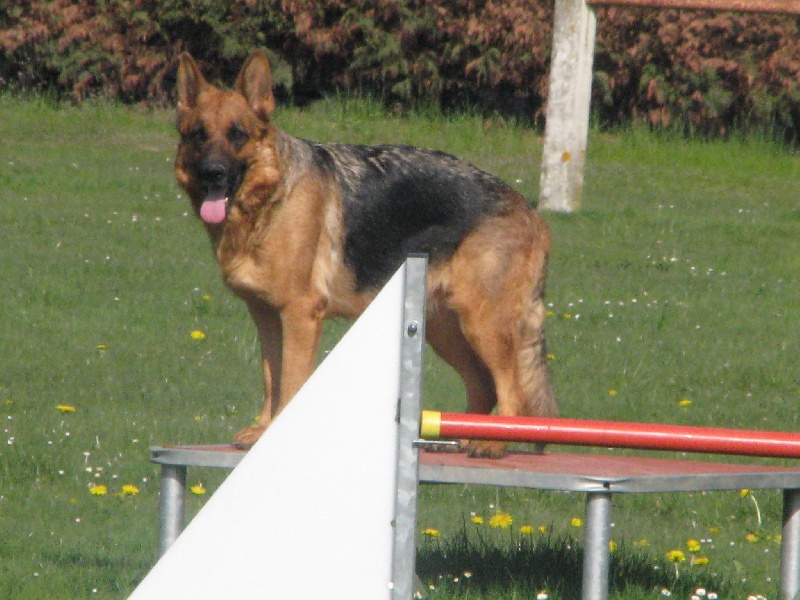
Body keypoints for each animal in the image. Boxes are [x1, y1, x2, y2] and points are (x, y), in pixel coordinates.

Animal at [174, 50, 559, 458]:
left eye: (237, 134)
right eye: (199, 135)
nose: (212, 173)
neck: (269, 201)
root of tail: (530, 211)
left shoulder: (299, 315)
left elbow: (290, 383)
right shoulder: (266, 317)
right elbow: (270, 378)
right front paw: (263, 431)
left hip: (483, 324)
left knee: (511, 388)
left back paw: (494, 444)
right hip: (446, 330)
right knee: (483, 385)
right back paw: (464, 438)